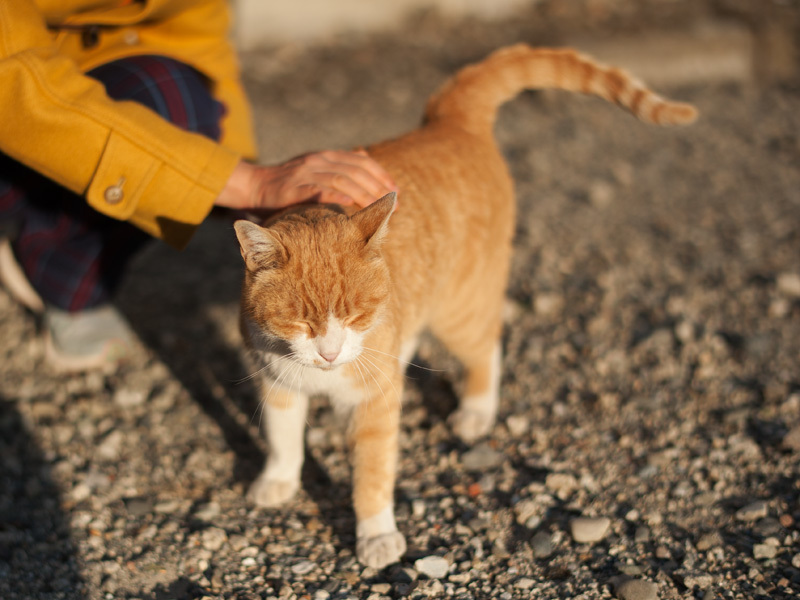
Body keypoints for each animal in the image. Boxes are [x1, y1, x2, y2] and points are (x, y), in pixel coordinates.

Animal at [234, 44, 696, 568]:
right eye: (300, 322)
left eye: (357, 315)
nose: (330, 353)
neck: (322, 379)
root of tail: (448, 120)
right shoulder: (275, 381)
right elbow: (282, 437)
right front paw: (278, 480)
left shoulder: (375, 404)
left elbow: (372, 473)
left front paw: (376, 534)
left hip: (460, 310)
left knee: (486, 346)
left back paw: (476, 409)